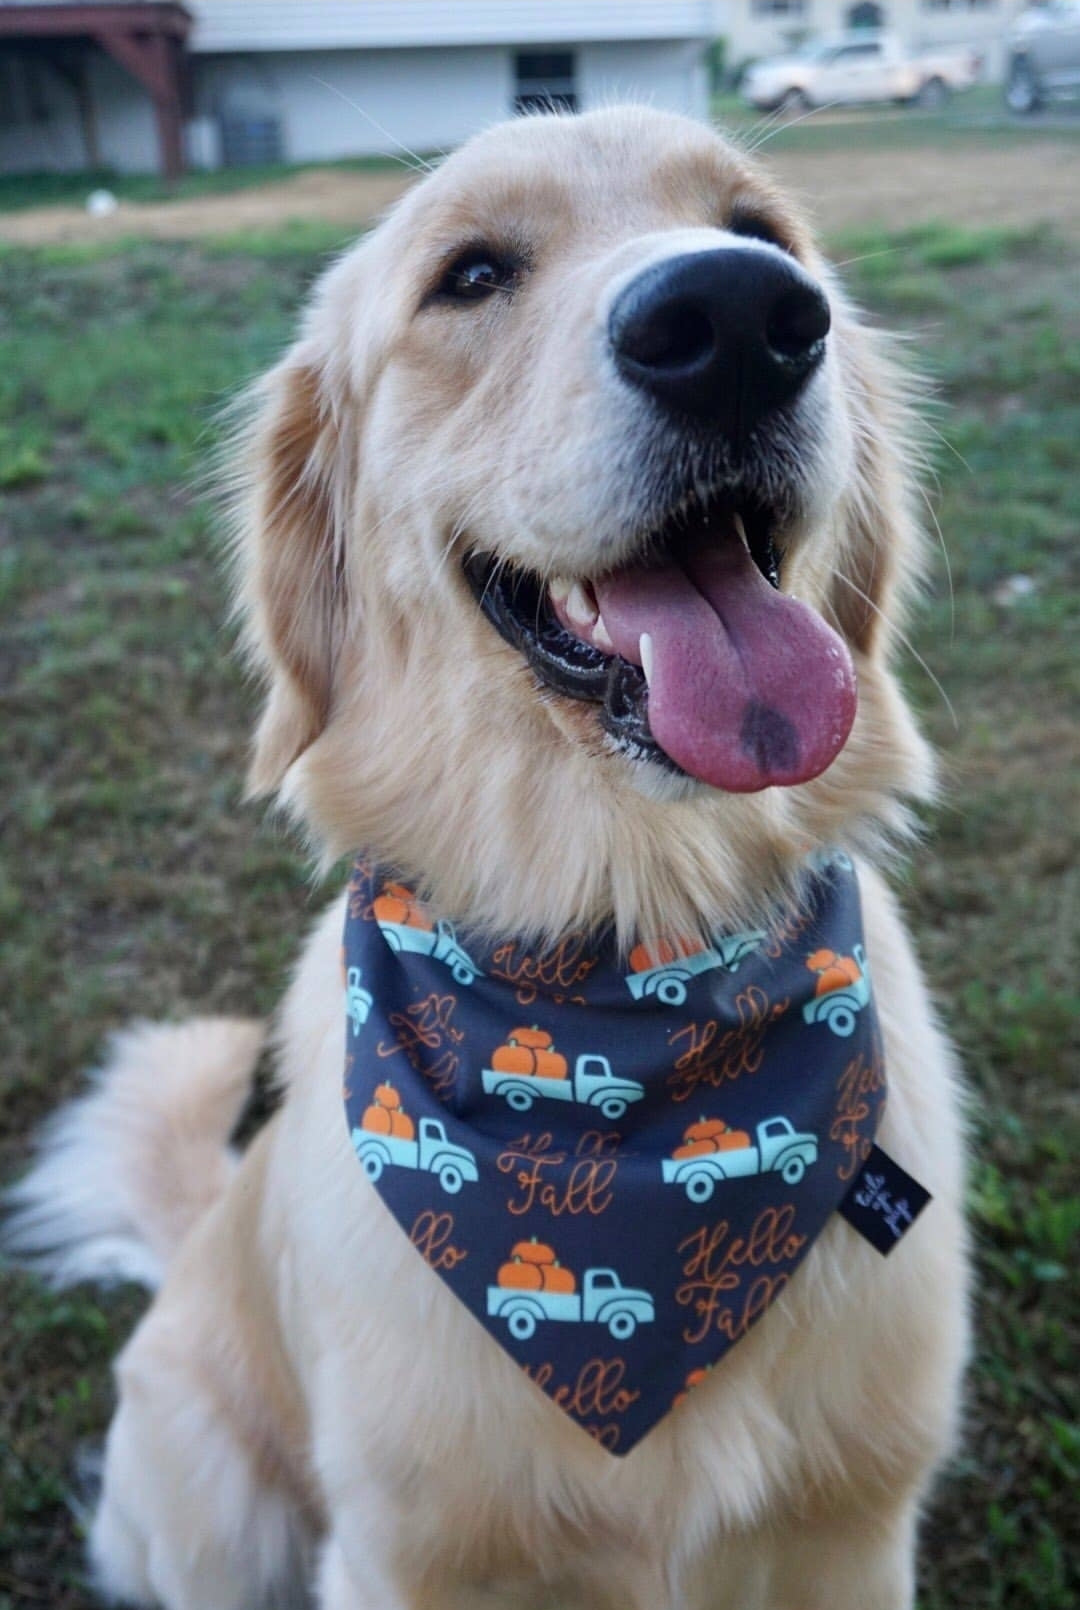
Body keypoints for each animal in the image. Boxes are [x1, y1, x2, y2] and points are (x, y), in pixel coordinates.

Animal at [4, 107, 972, 1603]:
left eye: (761, 234)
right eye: (469, 276)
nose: (741, 320)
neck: (626, 946)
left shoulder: (852, 1532)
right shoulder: (405, 1550)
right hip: (210, 1494)